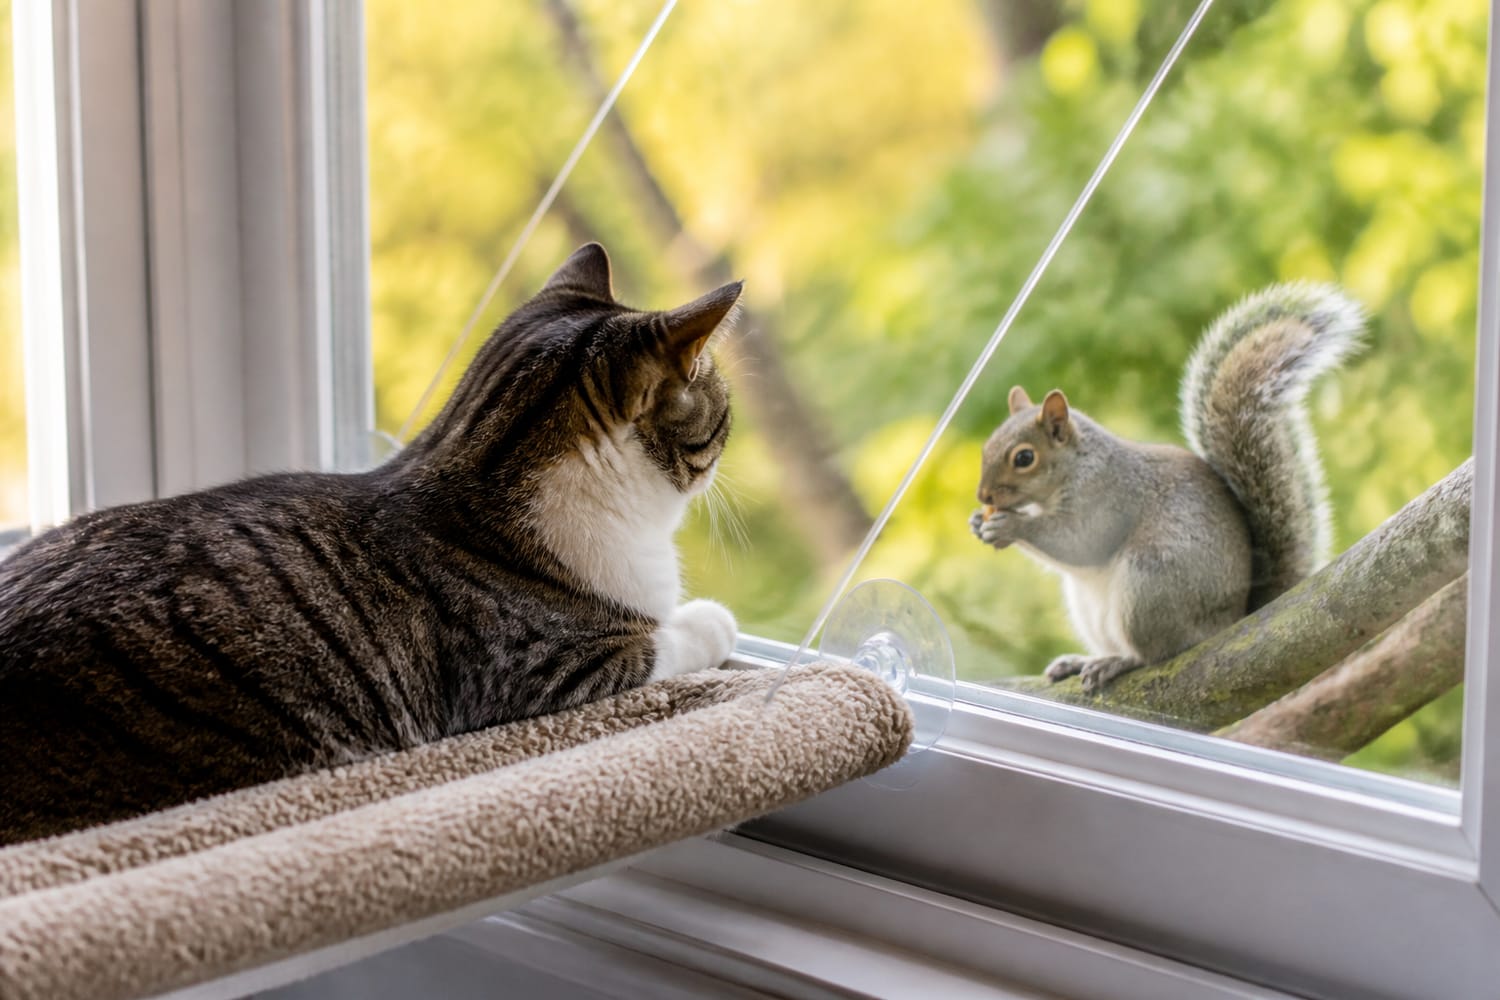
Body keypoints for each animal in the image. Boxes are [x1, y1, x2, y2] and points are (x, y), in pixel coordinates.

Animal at [969, 283, 1364, 693]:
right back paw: (1078, 661)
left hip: (1150, 585)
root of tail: (1233, 619)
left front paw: (1013, 525)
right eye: (987, 446)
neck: (1074, 468)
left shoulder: (1109, 496)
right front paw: (979, 523)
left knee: (1156, 652)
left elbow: (1079, 541)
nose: (984, 497)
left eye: (1024, 458)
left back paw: (1117, 662)